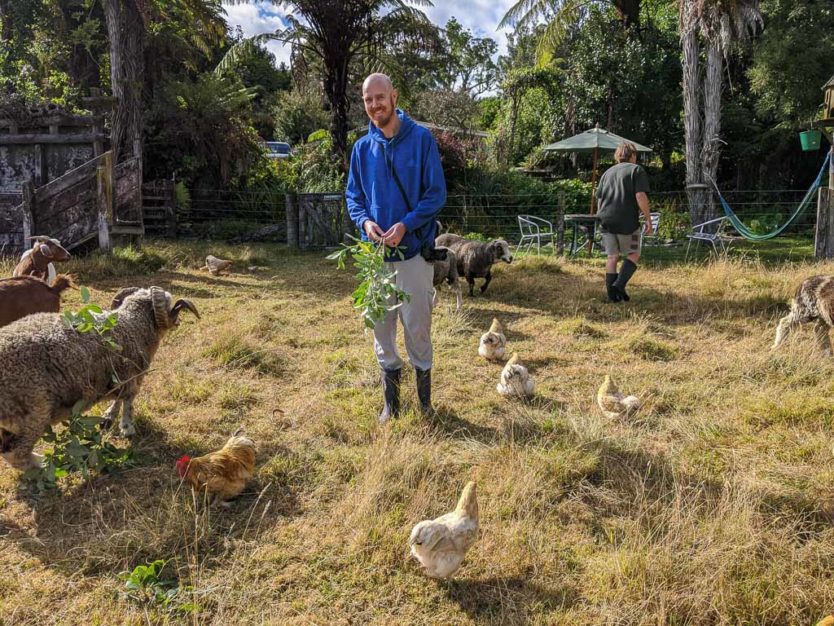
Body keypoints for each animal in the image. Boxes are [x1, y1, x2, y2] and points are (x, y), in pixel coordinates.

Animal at [0, 284, 197, 468]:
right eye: (171, 305)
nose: (178, 322)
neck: (134, 326)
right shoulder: (131, 378)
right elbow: (128, 401)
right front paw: (127, 428)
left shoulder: (118, 379)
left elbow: (118, 399)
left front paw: (108, 418)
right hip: (33, 415)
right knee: (15, 455)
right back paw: (43, 465)